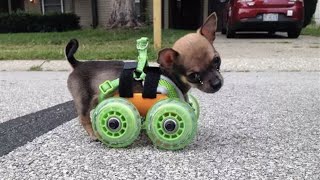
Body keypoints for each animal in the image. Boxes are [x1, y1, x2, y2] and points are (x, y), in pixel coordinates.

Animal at [66, 12, 224, 140]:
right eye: (194, 75)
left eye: (217, 60)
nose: (217, 83)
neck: (170, 76)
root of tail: (77, 64)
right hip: (84, 100)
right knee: (83, 118)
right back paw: (94, 134)